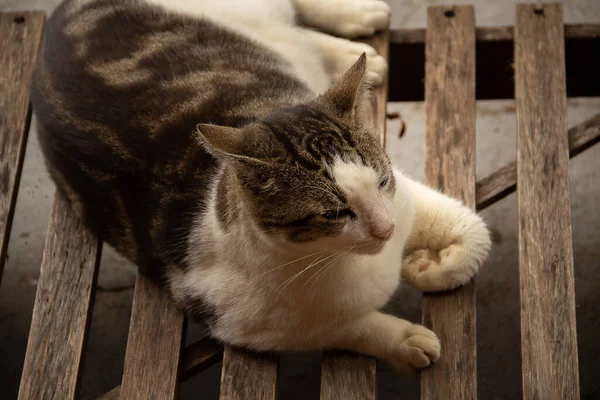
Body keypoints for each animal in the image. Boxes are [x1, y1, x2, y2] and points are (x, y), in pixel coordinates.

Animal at [32, 0, 490, 376]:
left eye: (381, 181)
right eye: (333, 213)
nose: (386, 231)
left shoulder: (405, 198)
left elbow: (475, 234)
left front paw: (430, 267)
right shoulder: (236, 319)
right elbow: (344, 327)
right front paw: (403, 339)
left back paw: (354, 26)